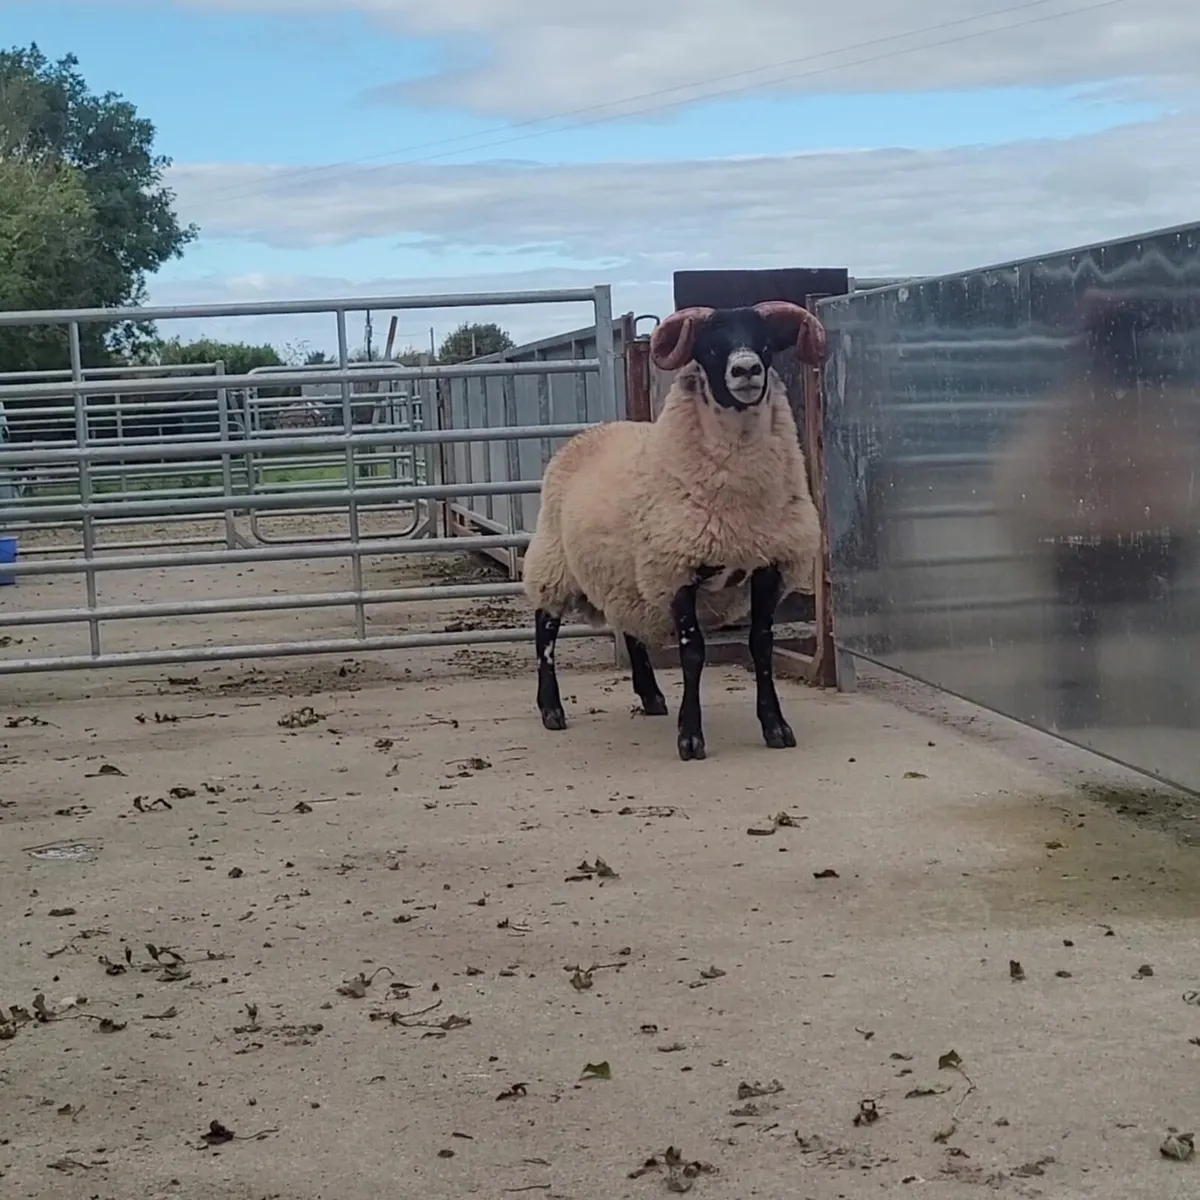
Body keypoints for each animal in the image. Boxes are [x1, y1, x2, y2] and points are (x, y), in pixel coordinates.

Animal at [521, 300, 828, 761]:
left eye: (766, 342)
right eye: (709, 346)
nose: (746, 370)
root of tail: (595, 430)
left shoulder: (768, 563)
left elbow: (761, 645)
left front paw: (775, 727)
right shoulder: (678, 568)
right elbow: (693, 653)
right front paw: (691, 737)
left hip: (623, 572)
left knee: (628, 625)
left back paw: (650, 697)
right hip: (554, 559)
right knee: (545, 629)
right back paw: (551, 709)